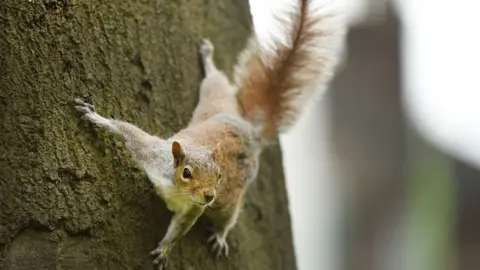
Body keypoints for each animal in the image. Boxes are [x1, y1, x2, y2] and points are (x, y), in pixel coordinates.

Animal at [74, 0, 344, 268]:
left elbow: (180, 229)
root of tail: (250, 131)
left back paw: (220, 235)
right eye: (186, 173)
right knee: (215, 82)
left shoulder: (193, 209)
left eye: (219, 175)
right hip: (214, 104)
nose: (209, 195)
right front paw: (95, 116)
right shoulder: (153, 155)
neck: (177, 190)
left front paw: (164, 250)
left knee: (227, 216)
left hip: (229, 194)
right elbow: (130, 134)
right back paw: (207, 56)